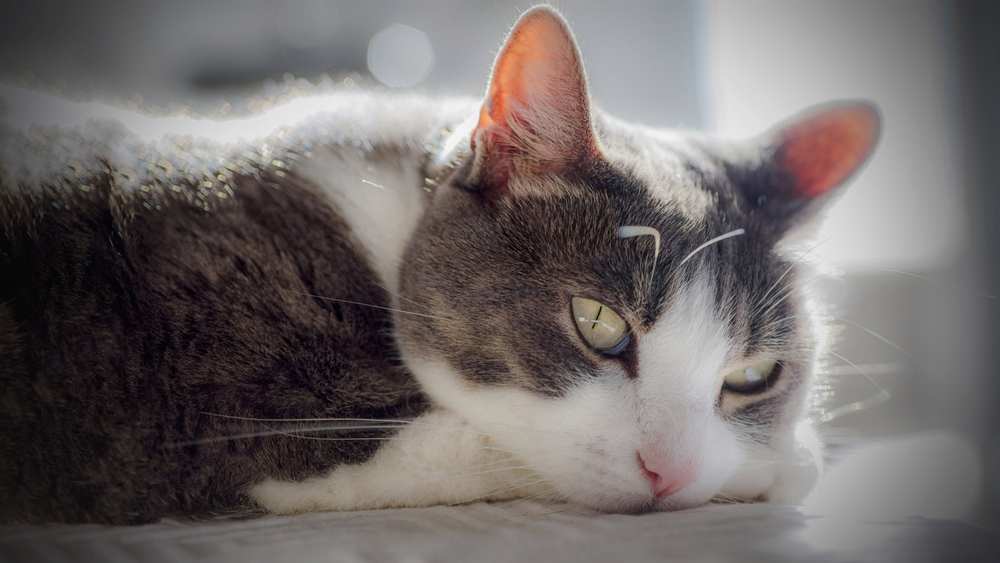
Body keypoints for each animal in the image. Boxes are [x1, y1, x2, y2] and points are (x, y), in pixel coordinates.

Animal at [0, 5, 876, 524]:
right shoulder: (209, 411)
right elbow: (487, 446)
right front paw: (784, 463)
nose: (670, 469)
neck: (387, 224)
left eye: (753, 375)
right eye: (597, 323)